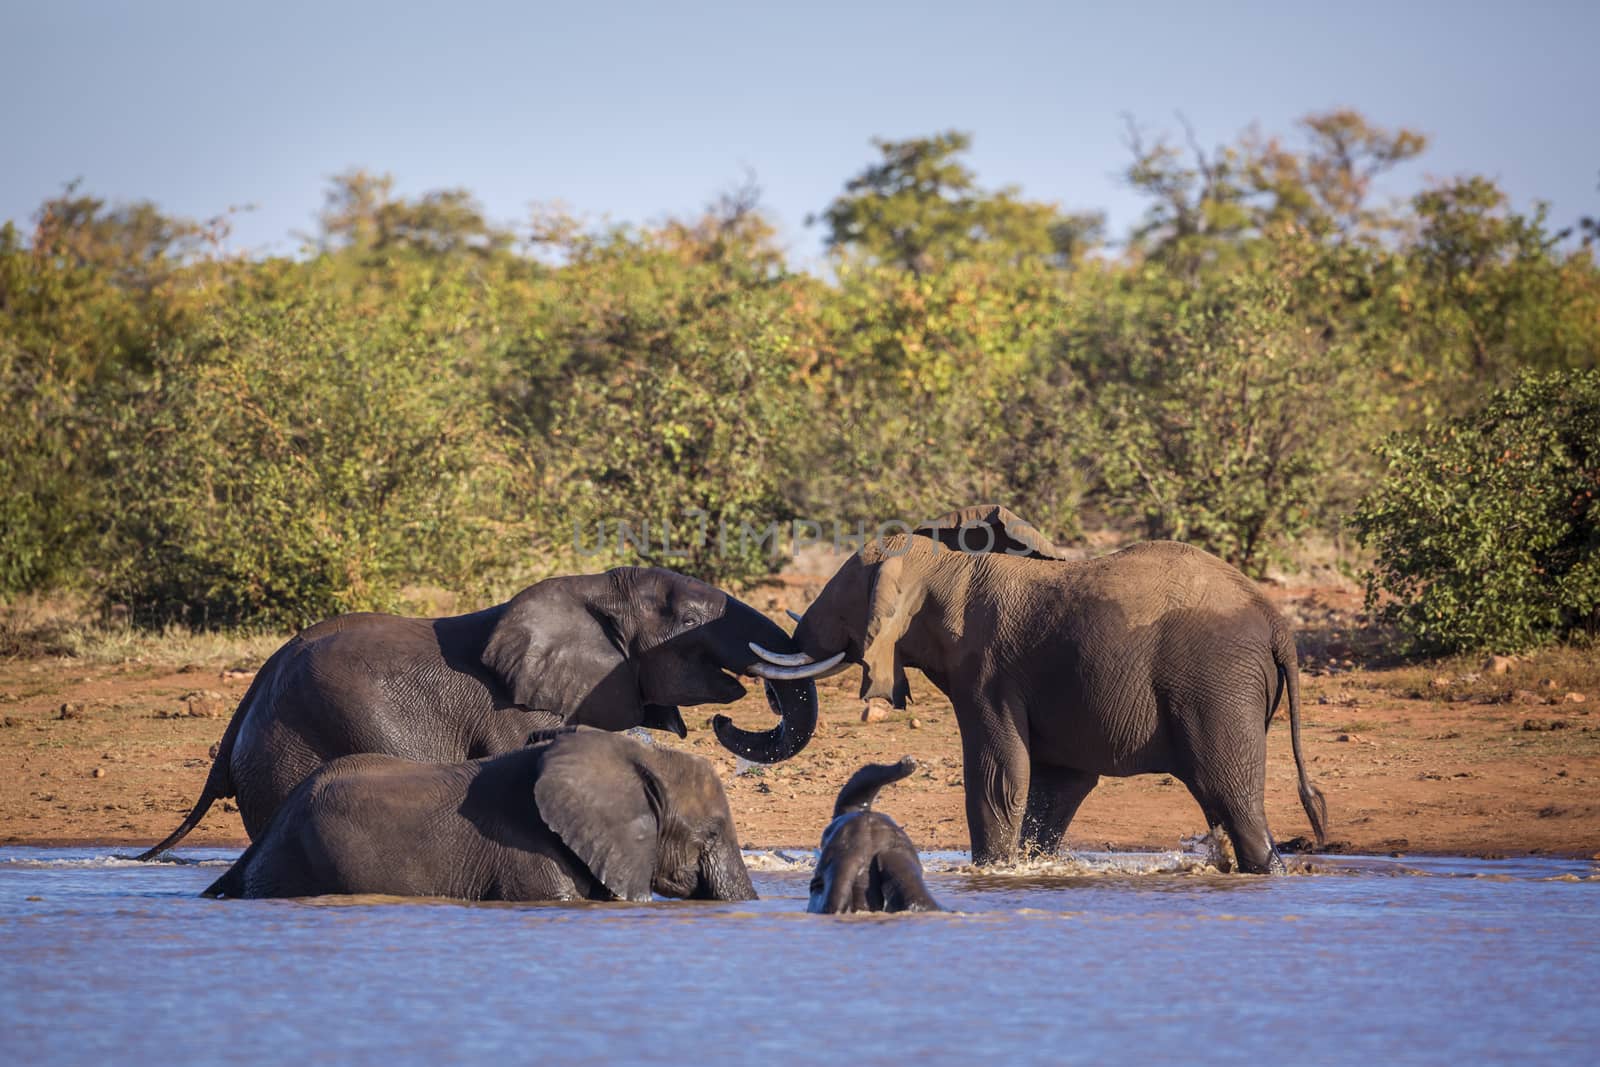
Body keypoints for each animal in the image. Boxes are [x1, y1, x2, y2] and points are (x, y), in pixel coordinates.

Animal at [139, 566, 838, 857]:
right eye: (690, 622)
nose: (729, 721)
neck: (586, 591)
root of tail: (246, 701)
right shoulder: (515, 710)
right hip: (297, 741)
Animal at [768, 505, 1331, 870]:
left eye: (840, 596)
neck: (944, 567)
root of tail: (1277, 623)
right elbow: (1055, 786)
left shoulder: (988, 674)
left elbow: (999, 777)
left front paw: (992, 870)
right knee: (1220, 803)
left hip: (1217, 686)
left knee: (1231, 795)